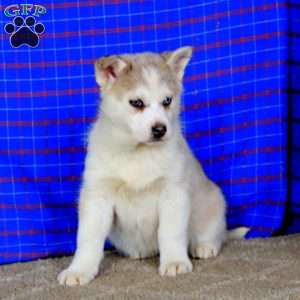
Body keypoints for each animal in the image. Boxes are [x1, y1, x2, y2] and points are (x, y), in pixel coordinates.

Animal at [57, 47, 245, 286]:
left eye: (167, 100)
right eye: (137, 103)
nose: (160, 129)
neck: (138, 152)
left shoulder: (173, 194)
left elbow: (170, 233)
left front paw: (175, 262)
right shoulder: (97, 196)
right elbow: (88, 238)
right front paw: (79, 270)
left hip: (214, 203)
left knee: (216, 233)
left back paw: (204, 246)